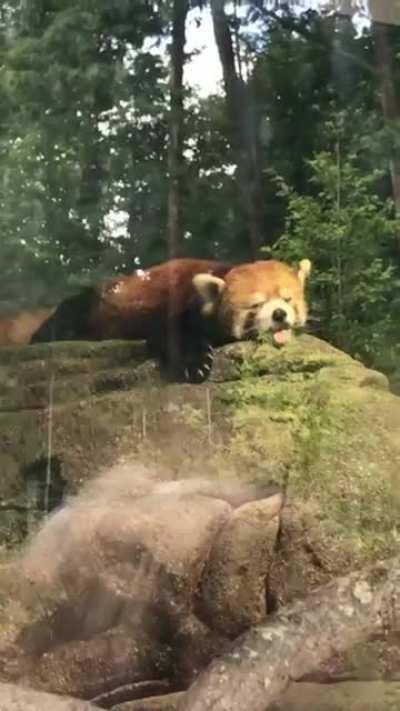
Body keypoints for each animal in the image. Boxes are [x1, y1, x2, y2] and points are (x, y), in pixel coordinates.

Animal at [30, 257, 311, 382]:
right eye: (256, 305)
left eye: (287, 300)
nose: (279, 314)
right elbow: (173, 332)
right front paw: (196, 363)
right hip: (89, 304)